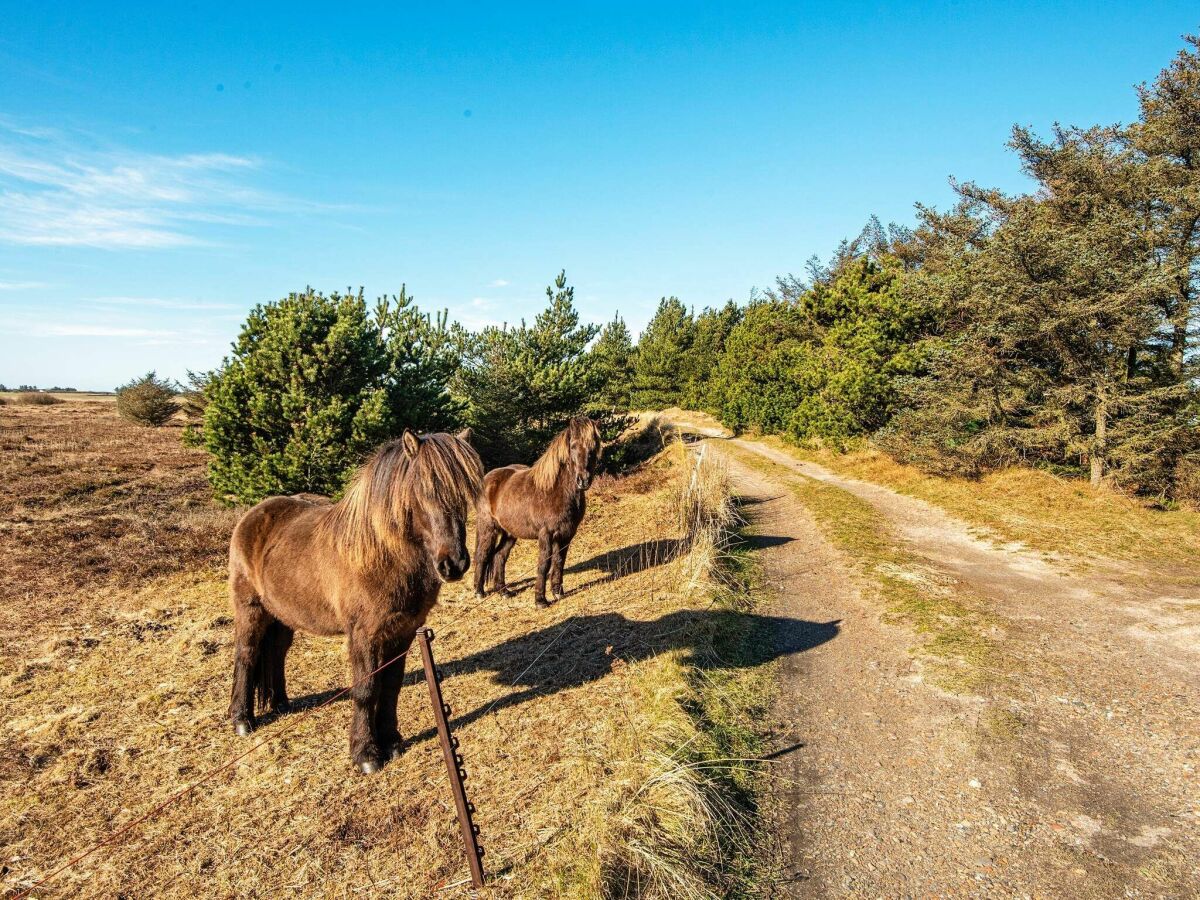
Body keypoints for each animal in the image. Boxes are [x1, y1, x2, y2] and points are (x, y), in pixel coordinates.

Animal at [226, 432, 480, 777]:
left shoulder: (403, 631)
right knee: (247, 654)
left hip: (282, 616)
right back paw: (242, 719)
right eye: (424, 490)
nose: (453, 564)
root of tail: (253, 515)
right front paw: (366, 754)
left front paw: (392, 742)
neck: (381, 555)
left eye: (462, 493)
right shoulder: (364, 635)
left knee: (276, 653)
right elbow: (366, 689)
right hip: (250, 609)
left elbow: (391, 686)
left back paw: (280, 704)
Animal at [468, 420, 600, 609]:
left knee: (499, 556)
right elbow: (544, 564)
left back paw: (504, 592)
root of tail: (487, 478)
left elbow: (559, 561)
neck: (555, 490)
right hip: (488, 528)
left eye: (593, 447)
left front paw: (558, 593)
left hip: (510, 533)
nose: (584, 480)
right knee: (482, 555)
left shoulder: (567, 535)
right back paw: (479, 592)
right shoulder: (546, 534)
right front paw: (540, 600)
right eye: (573, 446)